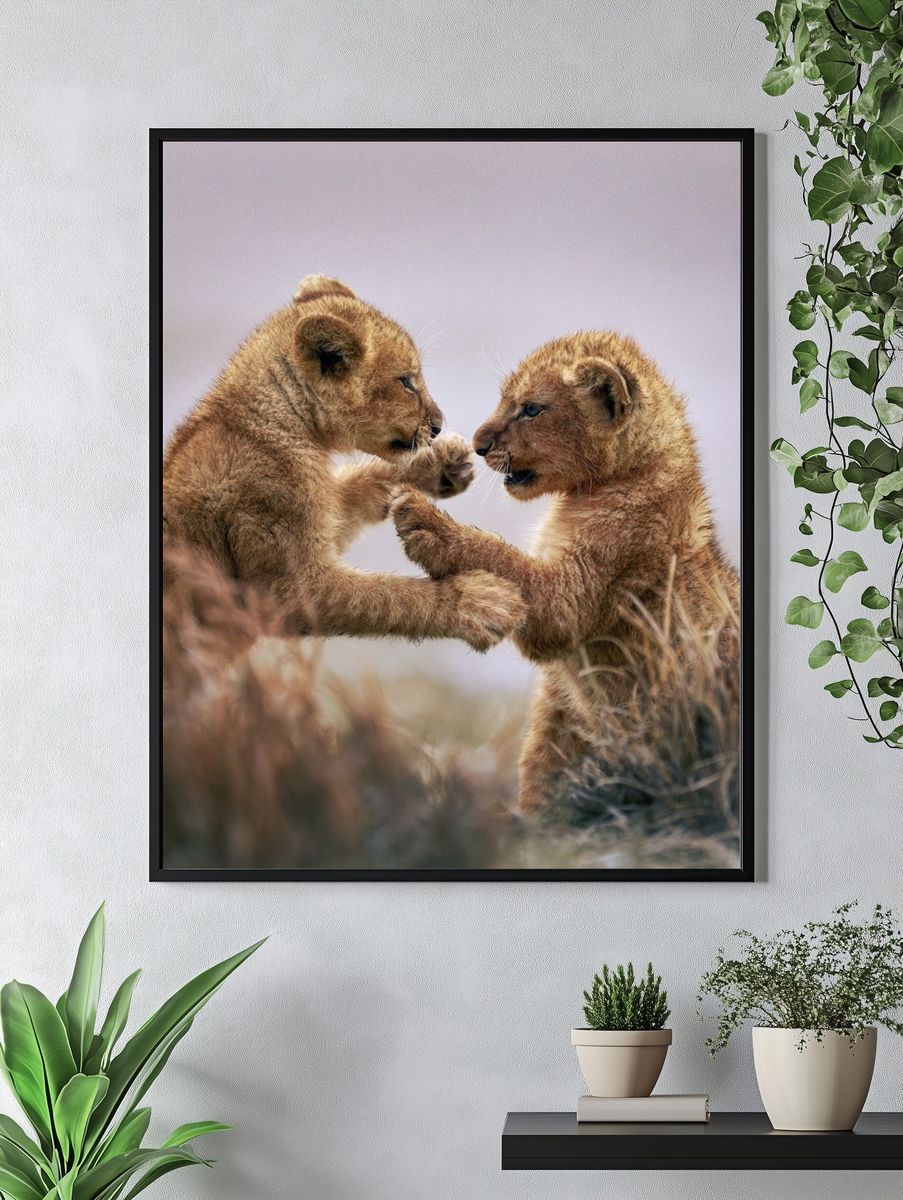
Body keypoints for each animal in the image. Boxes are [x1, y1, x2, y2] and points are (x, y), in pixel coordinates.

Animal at [164, 275, 525, 651]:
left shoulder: (319, 509)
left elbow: (355, 490)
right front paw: (477, 603)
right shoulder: (281, 584)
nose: (439, 425)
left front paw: (445, 462)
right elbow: (387, 596)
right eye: (406, 381)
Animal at [390, 331, 739, 810]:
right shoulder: (561, 699)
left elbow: (508, 563)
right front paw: (535, 814)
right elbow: (544, 754)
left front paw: (422, 519)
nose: (479, 445)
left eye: (531, 408)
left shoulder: (576, 594)